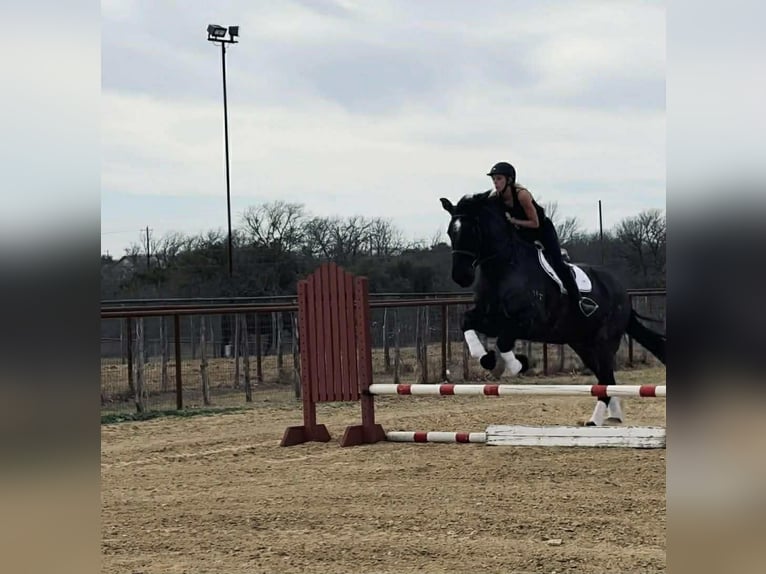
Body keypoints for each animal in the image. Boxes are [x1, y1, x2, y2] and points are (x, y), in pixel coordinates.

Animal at [440, 192, 666, 426]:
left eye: (472, 230)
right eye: (450, 232)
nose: (461, 277)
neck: (504, 269)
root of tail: (622, 291)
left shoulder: (529, 321)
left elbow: (503, 341)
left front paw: (517, 365)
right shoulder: (491, 320)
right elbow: (466, 321)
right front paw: (485, 357)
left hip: (605, 341)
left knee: (605, 378)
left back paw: (595, 420)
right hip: (583, 344)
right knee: (606, 379)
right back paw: (613, 416)